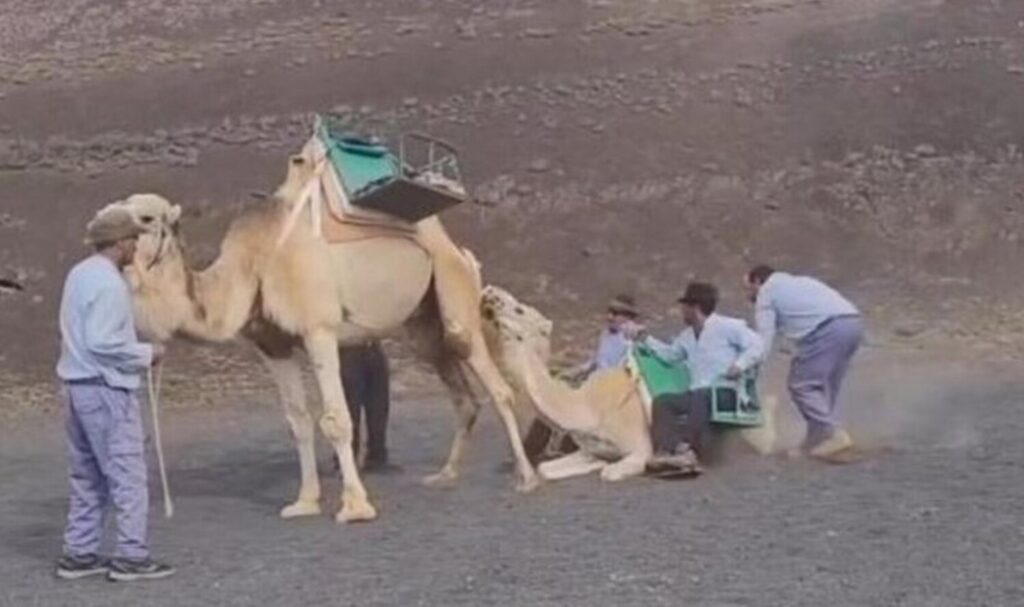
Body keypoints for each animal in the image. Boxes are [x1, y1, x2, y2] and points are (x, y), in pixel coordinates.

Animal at [108, 146, 537, 523]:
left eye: (145, 218)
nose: (100, 229)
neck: (252, 265)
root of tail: (460, 250)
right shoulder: (273, 345)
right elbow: (297, 420)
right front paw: (304, 502)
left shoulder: (319, 330)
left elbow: (335, 419)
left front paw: (355, 507)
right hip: (423, 327)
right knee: (463, 397)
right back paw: (445, 475)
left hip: (455, 295)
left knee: (495, 384)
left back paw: (526, 478)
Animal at [480, 285, 780, 482]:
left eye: (518, 309)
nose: (489, 292)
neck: (587, 407)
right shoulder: (590, 447)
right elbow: (550, 469)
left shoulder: (639, 449)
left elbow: (610, 473)